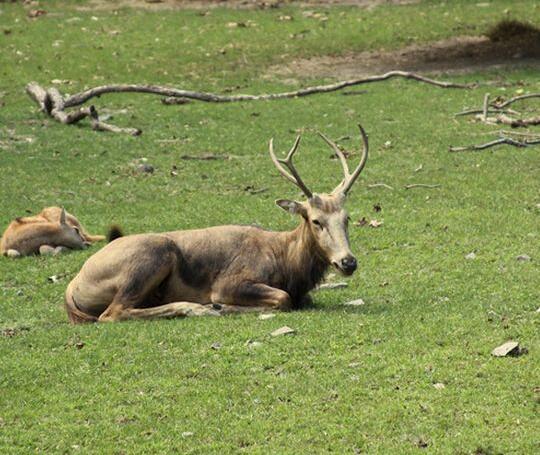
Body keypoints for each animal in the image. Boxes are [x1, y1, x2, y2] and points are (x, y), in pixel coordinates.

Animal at [62, 125, 368, 324]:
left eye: (346, 218)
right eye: (316, 220)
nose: (348, 261)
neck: (287, 263)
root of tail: (73, 286)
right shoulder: (229, 282)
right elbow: (283, 298)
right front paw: (223, 306)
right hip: (151, 257)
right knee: (112, 313)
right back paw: (198, 308)